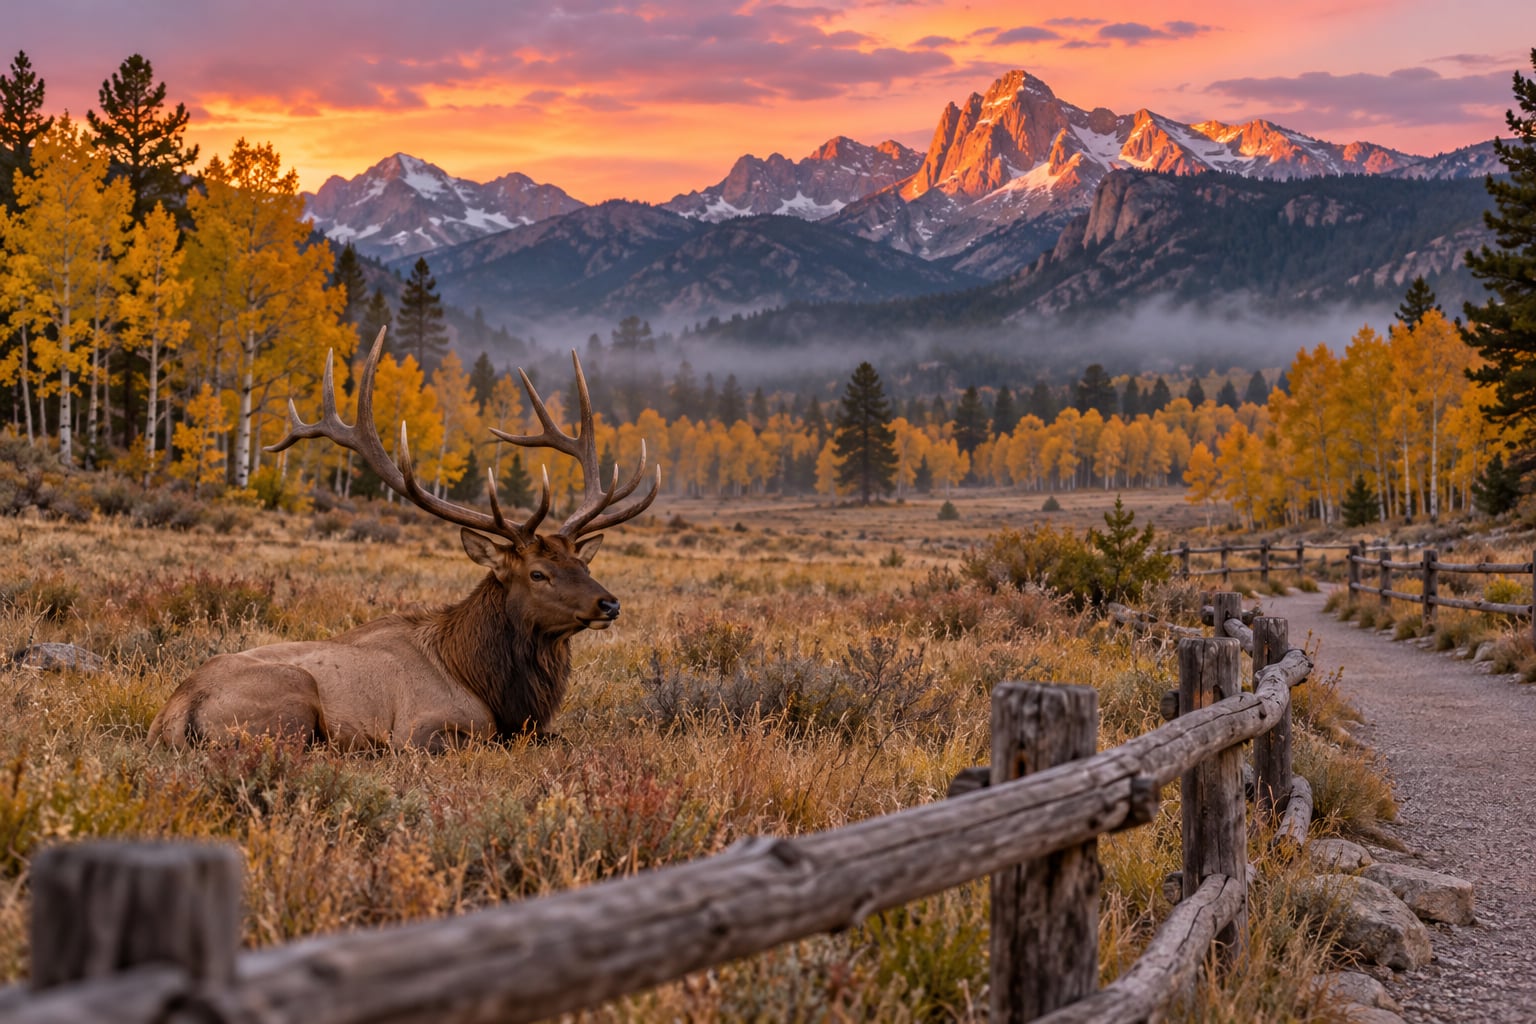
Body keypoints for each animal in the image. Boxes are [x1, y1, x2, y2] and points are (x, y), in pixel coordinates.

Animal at [148, 328, 658, 751]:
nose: (609, 603)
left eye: (584, 564)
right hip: (293, 699)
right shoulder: (421, 729)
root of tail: (176, 713)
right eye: (538, 573)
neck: (486, 684)